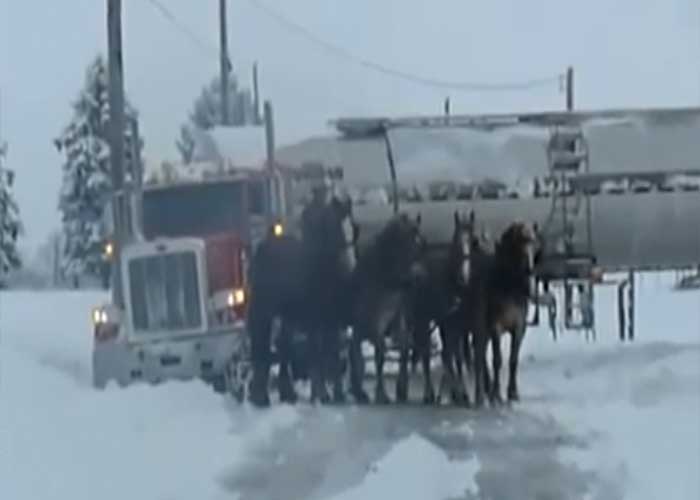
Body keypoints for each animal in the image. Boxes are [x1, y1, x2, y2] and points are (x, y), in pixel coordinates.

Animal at [245, 193, 356, 408]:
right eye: (335, 228)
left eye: (353, 228)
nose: (350, 266)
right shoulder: (313, 320)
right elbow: (316, 354)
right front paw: (321, 394)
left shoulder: (332, 320)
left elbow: (333, 352)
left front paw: (337, 394)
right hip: (264, 309)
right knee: (262, 344)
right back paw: (260, 396)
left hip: (288, 316)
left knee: (283, 346)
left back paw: (286, 393)